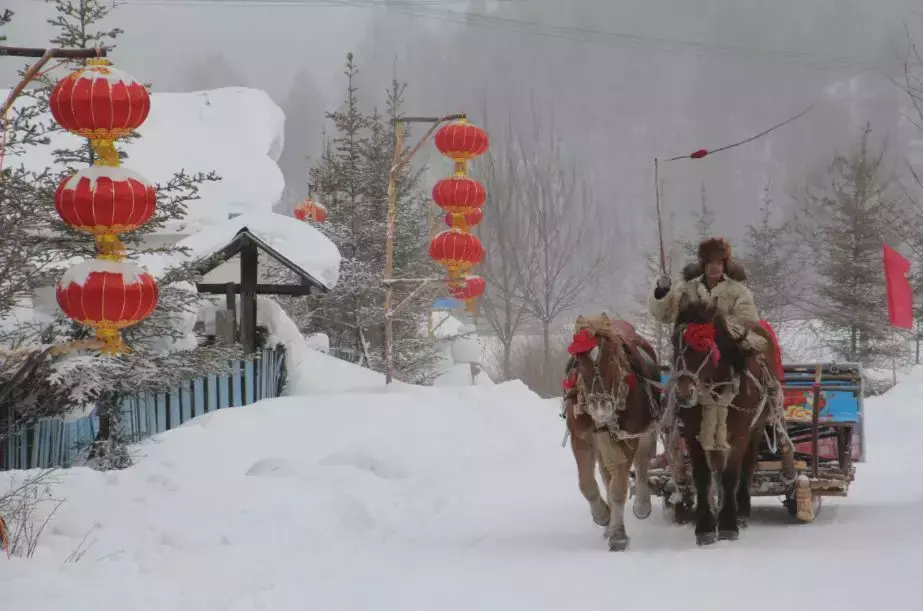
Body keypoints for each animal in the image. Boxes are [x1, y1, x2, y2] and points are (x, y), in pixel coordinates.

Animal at [564, 316, 664, 548]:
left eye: (610, 359)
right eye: (579, 362)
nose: (600, 406)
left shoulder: (628, 439)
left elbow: (619, 487)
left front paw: (618, 534)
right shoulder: (581, 439)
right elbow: (587, 483)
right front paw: (603, 515)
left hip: (645, 433)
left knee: (642, 465)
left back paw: (642, 505)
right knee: (605, 475)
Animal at [668, 300, 776, 544]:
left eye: (705, 345)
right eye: (673, 342)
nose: (683, 393)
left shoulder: (740, 433)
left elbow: (730, 475)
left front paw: (728, 524)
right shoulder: (693, 434)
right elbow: (702, 476)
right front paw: (705, 526)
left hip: (756, 429)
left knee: (747, 467)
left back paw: (742, 512)